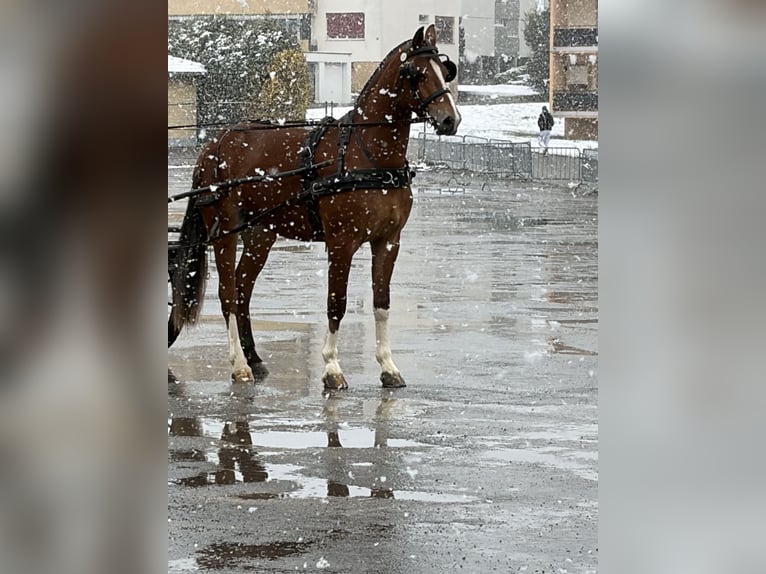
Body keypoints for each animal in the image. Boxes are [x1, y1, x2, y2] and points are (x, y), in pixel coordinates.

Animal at [169, 24, 461, 389]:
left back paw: (255, 358)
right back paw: (239, 365)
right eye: (417, 73)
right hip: (225, 232)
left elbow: (381, 303)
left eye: (445, 72)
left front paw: (388, 367)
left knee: (243, 290)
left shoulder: (388, 241)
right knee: (228, 293)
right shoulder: (341, 242)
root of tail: (215, 143)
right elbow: (337, 302)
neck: (368, 154)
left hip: (260, 234)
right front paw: (332, 368)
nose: (450, 120)